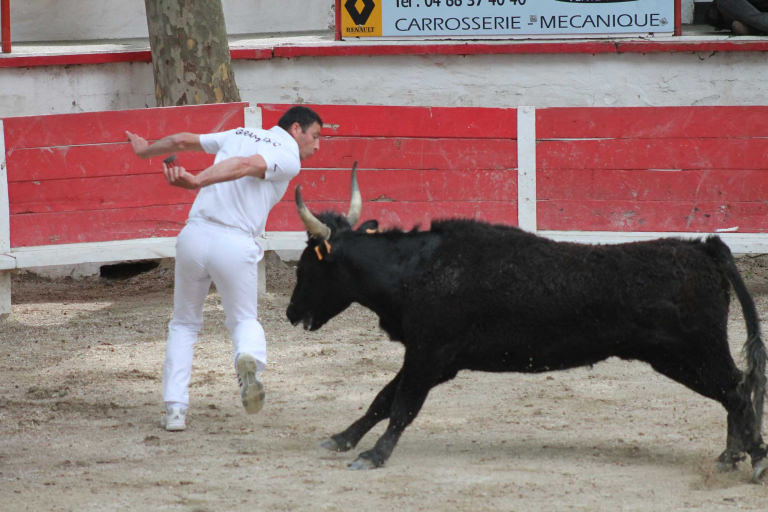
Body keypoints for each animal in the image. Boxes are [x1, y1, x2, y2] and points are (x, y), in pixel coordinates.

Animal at [286, 172, 768, 480]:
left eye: (308, 267)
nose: (291, 313)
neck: (415, 270)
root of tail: (703, 248)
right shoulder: (429, 357)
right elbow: (382, 399)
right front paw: (342, 439)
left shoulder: (429, 355)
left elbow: (402, 405)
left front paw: (375, 455)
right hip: (695, 356)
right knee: (738, 389)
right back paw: (730, 455)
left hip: (690, 355)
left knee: (737, 391)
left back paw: (754, 459)